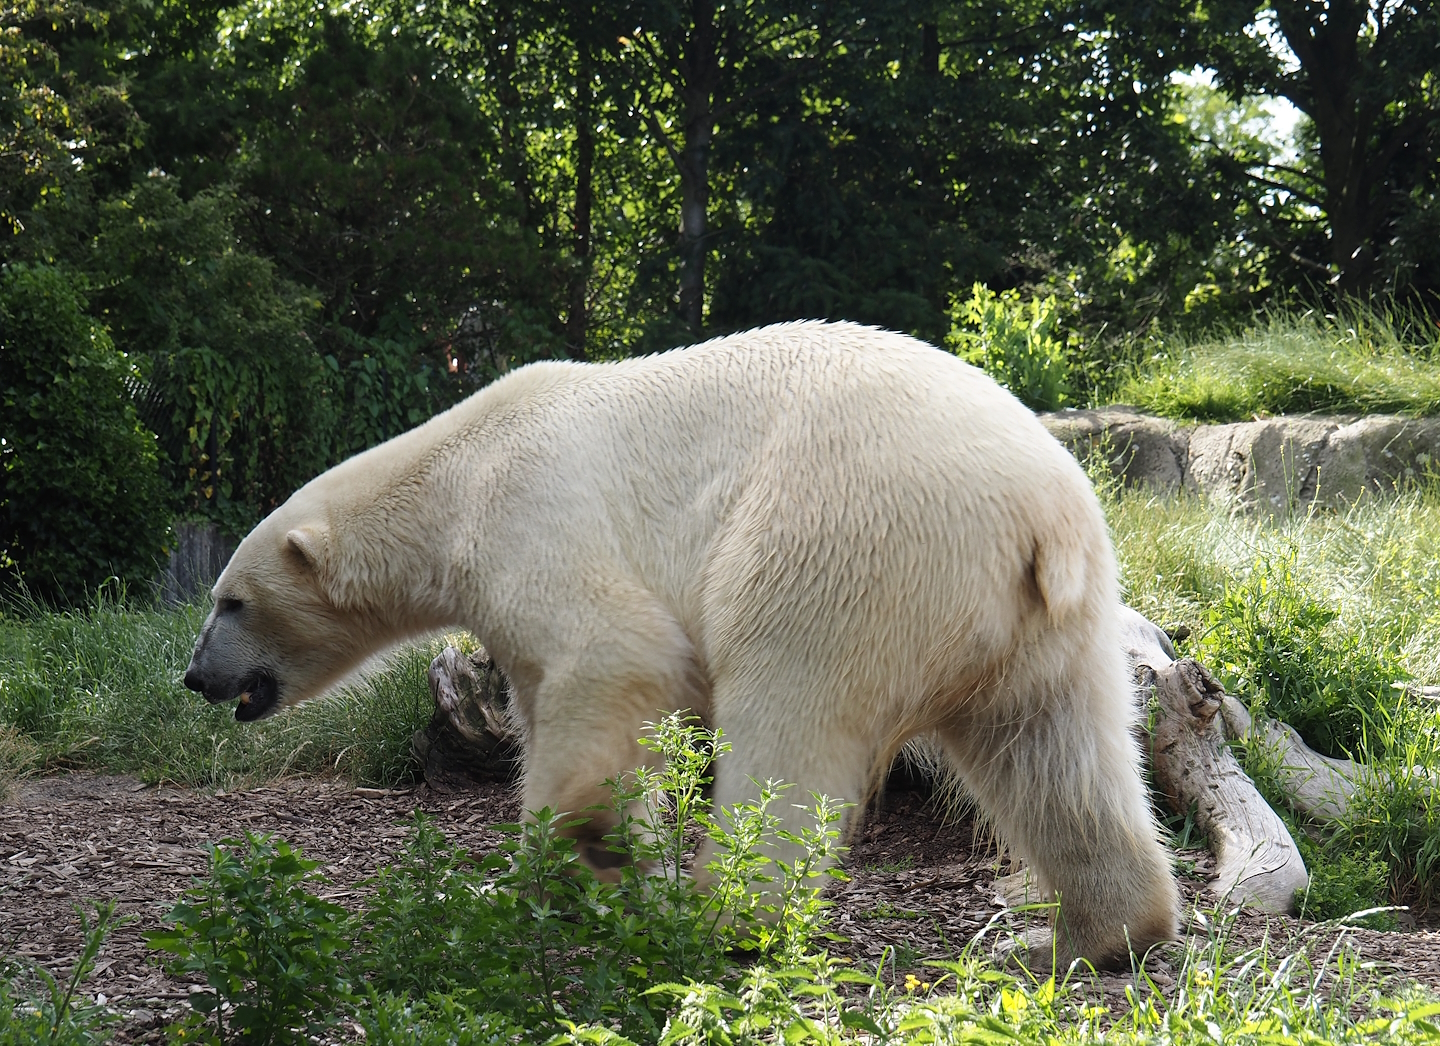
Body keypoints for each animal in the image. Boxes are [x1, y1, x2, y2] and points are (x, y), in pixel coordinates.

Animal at [182, 320, 1179, 969]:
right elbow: (559, 709)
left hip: (839, 544)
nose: (194, 676)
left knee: (786, 725)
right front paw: (561, 883)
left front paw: (588, 850)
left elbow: (615, 657)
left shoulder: (530, 518)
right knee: (1055, 750)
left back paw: (720, 915)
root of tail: (1039, 512)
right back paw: (1084, 934)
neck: (456, 473)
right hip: (1050, 621)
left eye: (229, 600)